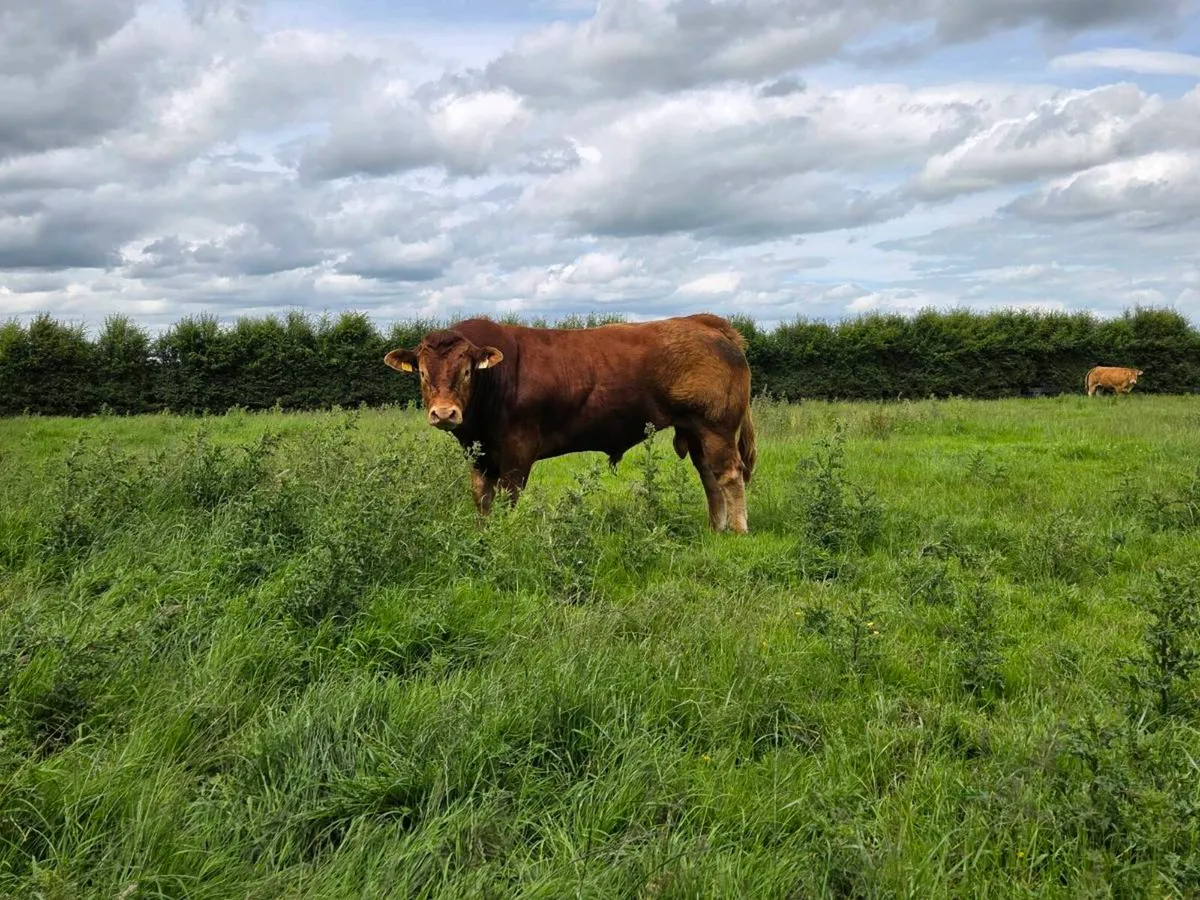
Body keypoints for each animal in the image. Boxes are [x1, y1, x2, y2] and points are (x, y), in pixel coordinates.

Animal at [383, 314, 757, 533]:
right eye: (422, 374)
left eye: (466, 372)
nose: (445, 413)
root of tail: (705, 322)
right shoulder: (480, 455)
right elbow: (482, 498)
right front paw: (484, 533)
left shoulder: (517, 451)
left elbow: (509, 497)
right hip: (696, 430)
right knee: (709, 476)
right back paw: (716, 528)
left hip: (717, 427)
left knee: (729, 475)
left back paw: (737, 531)